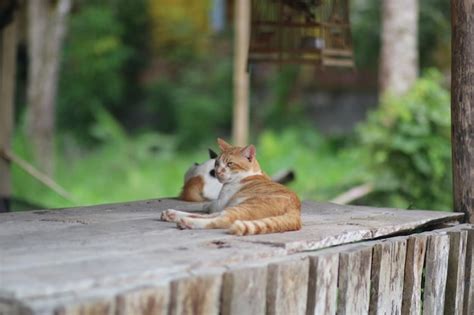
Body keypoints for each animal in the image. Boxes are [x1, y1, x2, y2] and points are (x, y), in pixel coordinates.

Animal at [161, 138, 302, 235]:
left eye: (230, 164)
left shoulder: (220, 203)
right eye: (217, 163)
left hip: (242, 207)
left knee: (221, 220)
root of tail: (296, 211)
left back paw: (186, 222)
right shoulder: (220, 204)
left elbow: (205, 206)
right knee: (210, 216)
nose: (217, 172)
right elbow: (204, 208)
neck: (250, 174)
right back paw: (173, 215)